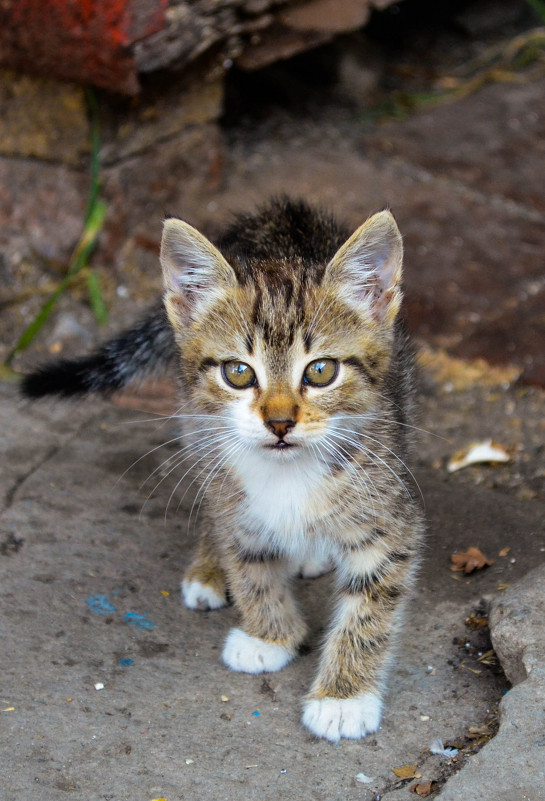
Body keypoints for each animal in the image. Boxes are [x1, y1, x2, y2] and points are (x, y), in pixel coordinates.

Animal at [21, 200, 422, 744]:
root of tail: (282, 211)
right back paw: (210, 568)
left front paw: (343, 698)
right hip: (197, 425)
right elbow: (248, 559)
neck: (286, 471)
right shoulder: (229, 486)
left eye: (321, 371)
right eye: (238, 373)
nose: (279, 422)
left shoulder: (389, 510)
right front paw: (269, 634)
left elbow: (370, 606)